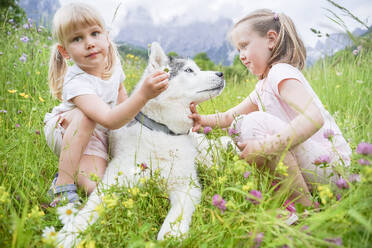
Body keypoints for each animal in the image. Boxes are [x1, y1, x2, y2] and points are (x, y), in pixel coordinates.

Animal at [55, 42, 224, 246]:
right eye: (189, 70)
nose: (221, 73)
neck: (161, 131)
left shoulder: (187, 185)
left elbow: (177, 212)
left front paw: (171, 233)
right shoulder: (113, 180)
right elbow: (92, 206)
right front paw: (69, 233)